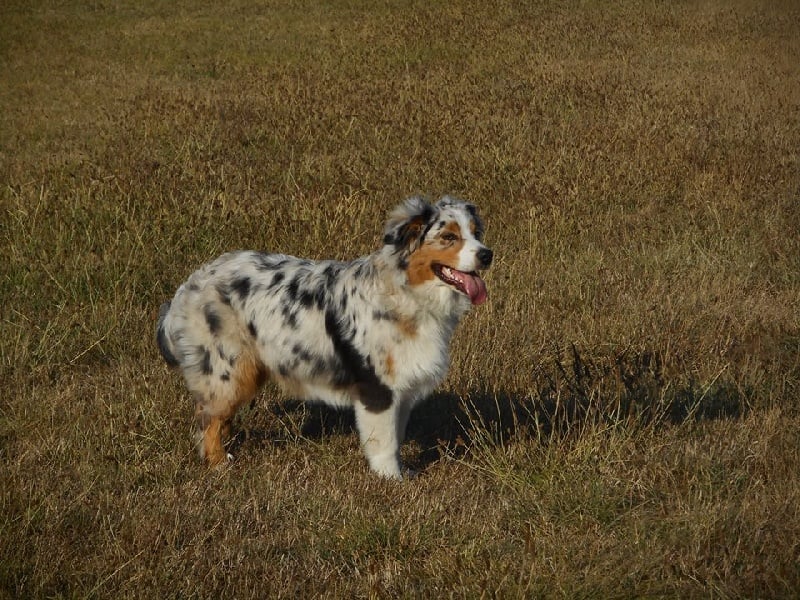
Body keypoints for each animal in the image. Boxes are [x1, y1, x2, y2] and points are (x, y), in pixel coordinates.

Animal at [155, 196, 490, 478]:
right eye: (449, 237)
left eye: (476, 233)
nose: (488, 254)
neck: (407, 292)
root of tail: (187, 287)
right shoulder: (377, 388)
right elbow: (384, 442)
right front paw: (391, 480)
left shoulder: (403, 388)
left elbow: (396, 434)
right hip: (228, 369)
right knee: (208, 421)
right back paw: (218, 465)